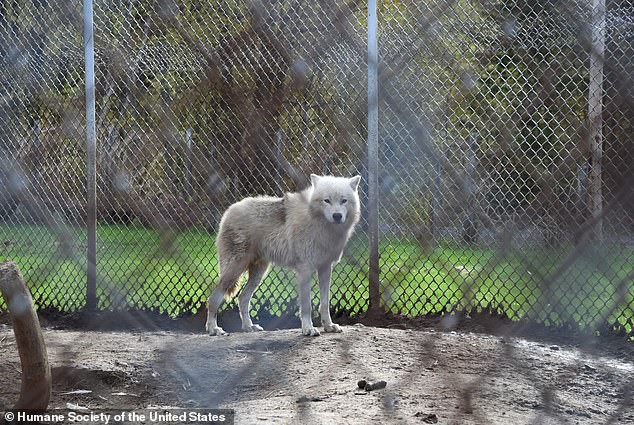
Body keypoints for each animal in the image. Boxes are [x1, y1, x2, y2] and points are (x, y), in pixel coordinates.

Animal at [205, 174, 358, 336]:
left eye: (344, 200)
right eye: (326, 200)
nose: (337, 216)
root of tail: (229, 211)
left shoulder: (325, 268)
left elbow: (324, 303)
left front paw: (329, 326)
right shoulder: (305, 270)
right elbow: (306, 306)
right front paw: (308, 329)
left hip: (258, 273)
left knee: (242, 298)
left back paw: (249, 327)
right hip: (235, 269)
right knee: (213, 299)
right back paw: (214, 329)